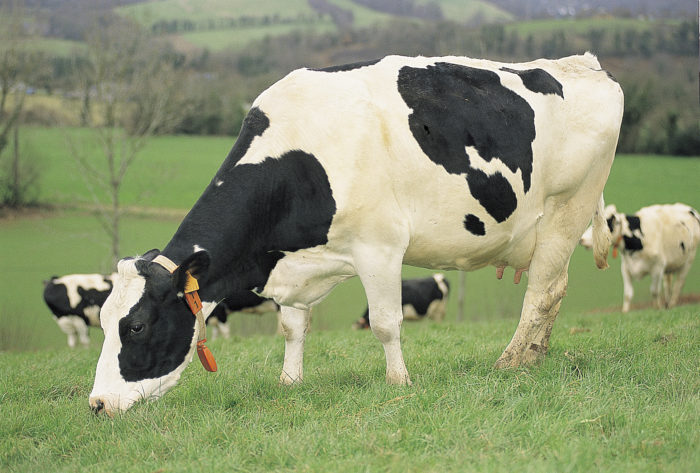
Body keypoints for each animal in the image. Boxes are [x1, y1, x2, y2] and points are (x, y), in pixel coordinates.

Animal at [89, 53, 623, 415]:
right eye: (102, 320)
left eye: (136, 326)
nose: (97, 404)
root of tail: (583, 64)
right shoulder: (292, 261)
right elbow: (292, 327)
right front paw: (289, 382)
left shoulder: (380, 248)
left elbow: (386, 323)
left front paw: (399, 383)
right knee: (552, 292)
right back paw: (535, 356)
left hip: (565, 211)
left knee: (543, 291)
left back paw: (512, 362)